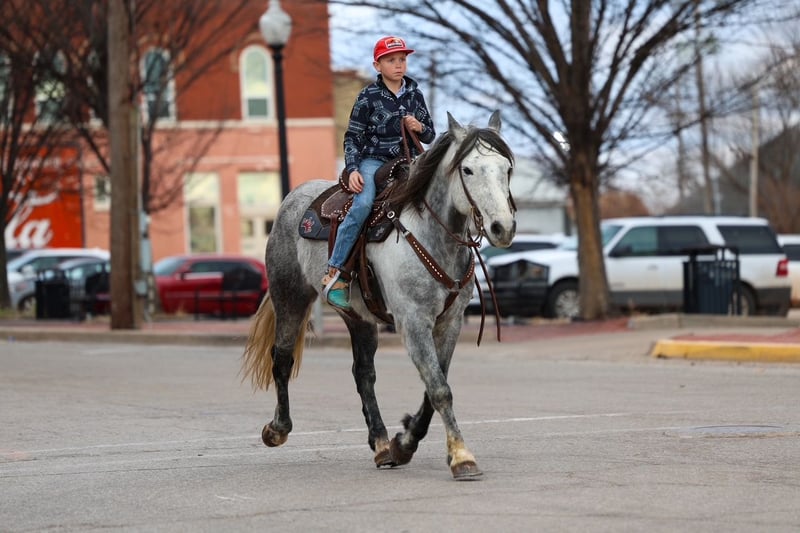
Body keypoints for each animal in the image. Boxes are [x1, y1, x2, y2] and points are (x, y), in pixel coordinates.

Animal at [241, 111, 516, 480]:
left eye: (507, 169)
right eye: (468, 170)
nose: (503, 227)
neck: (431, 235)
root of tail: (294, 197)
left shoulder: (450, 323)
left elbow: (434, 386)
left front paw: (404, 443)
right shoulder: (412, 322)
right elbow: (440, 389)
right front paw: (461, 456)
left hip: (358, 317)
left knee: (363, 374)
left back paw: (382, 444)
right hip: (290, 297)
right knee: (282, 359)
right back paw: (277, 429)